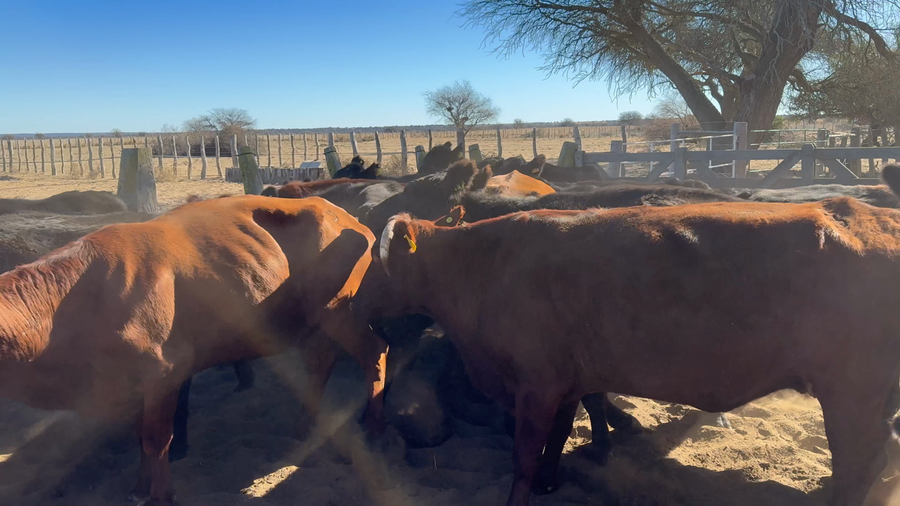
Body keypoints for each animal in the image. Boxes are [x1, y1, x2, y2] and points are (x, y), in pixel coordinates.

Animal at [0, 195, 388, 505]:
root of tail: (339, 213)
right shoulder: (134, 384)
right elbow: (141, 437)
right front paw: (139, 488)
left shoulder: (164, 372)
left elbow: (157, 439)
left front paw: (162, 495)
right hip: (311, 318)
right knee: (321, 361)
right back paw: (304, 423)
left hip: (338, 309)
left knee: (374, 352)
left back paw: (372, 427)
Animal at [352, 167, 900, 506]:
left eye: (376, 264)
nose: (353, 304)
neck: (485, 262)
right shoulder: (568, 378)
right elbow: (560, 434)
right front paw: (554, 481)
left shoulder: (536, 383)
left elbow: (525, 454)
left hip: (852, 391)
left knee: (862, 457)